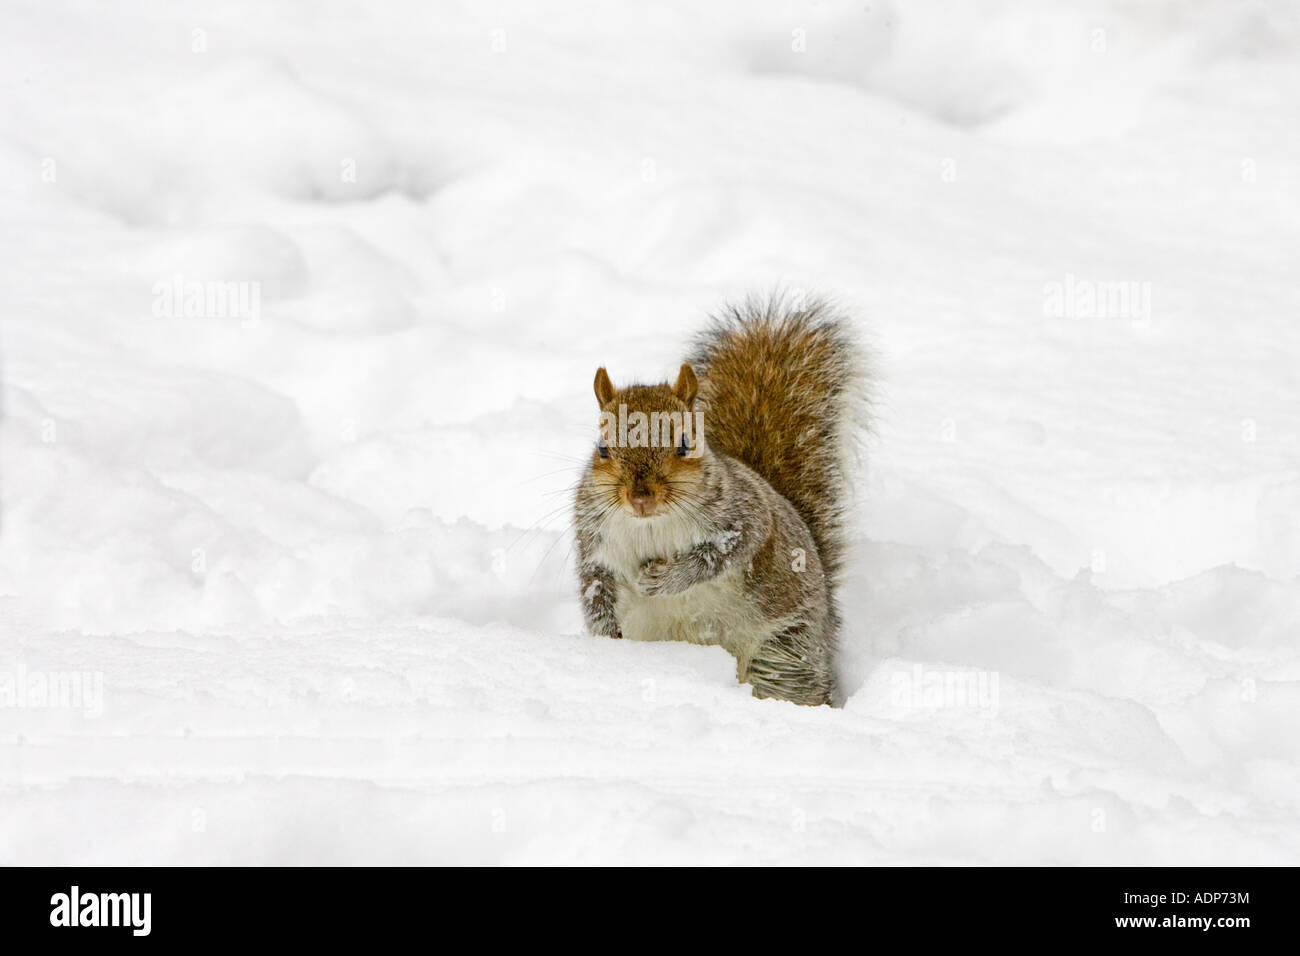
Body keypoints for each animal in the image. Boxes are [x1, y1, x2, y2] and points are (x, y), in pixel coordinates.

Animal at [573, 295, 865, 706]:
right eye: (602, 448)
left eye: (685, 443)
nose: (640, 498)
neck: (652, 525)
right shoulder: (593, 543)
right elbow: (594, 590)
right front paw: (607, 641)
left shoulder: (745, 515)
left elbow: (723, 552)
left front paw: (666, 579)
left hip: (787, 650)